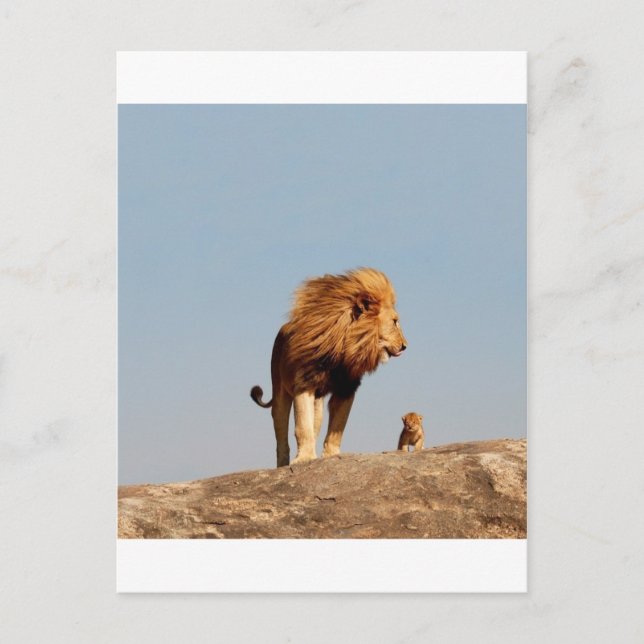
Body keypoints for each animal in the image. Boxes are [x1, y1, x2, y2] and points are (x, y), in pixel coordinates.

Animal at [251, 268, 407, 467]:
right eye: (395, 321)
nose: (405, 346)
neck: (344, 347)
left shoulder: (346, 388)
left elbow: (337, 427)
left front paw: (331, 455)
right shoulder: (303, 384)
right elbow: (302, 426)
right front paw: (304, 458)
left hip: (318, 405)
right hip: (280, 392)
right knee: (281, 434)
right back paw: (283, 464)